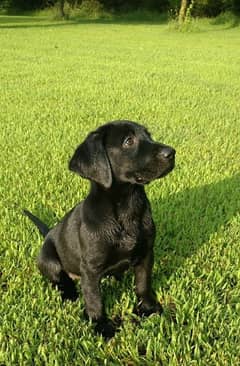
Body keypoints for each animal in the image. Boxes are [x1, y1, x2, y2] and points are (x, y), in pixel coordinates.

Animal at [23, 120, 174, 338]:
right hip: (48, 258)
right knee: (58, 279)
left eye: (149, 135)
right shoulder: (91, 268)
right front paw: (101, 325)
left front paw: (147, 308)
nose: (171, 153)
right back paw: (69, 293)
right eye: (128, 141)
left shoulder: (146, 252)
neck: (127, 207)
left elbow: (143, 283)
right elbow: (94, 299)